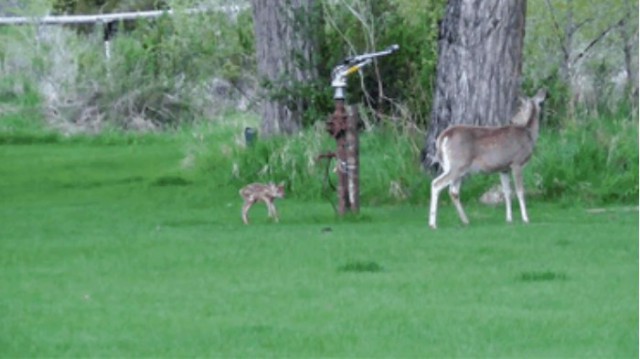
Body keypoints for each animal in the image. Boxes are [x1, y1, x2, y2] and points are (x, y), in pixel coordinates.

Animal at [428, 89, 548, 229]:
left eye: (520, 108)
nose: (512, 120)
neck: (528, 134)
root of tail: (443, 137)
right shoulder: (516, 162)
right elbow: (520, 191)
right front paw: (525, 218)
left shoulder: (504, 168)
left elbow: (507, 192)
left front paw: (509, 219)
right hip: (458, 165)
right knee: (436, 184)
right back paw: (433, 224)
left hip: (451, 166)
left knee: (453, 191)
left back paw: (465, 220)